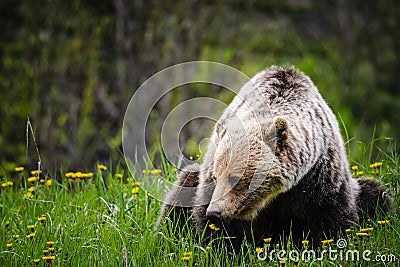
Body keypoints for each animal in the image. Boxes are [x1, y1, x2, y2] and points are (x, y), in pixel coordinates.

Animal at [156, 66, 390, 252]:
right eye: (215, 176)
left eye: (235, 178)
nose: (215, 212)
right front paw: (223, 248)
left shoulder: (320, 175)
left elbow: (332, 216)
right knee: (179, 198)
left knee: (376, 194)